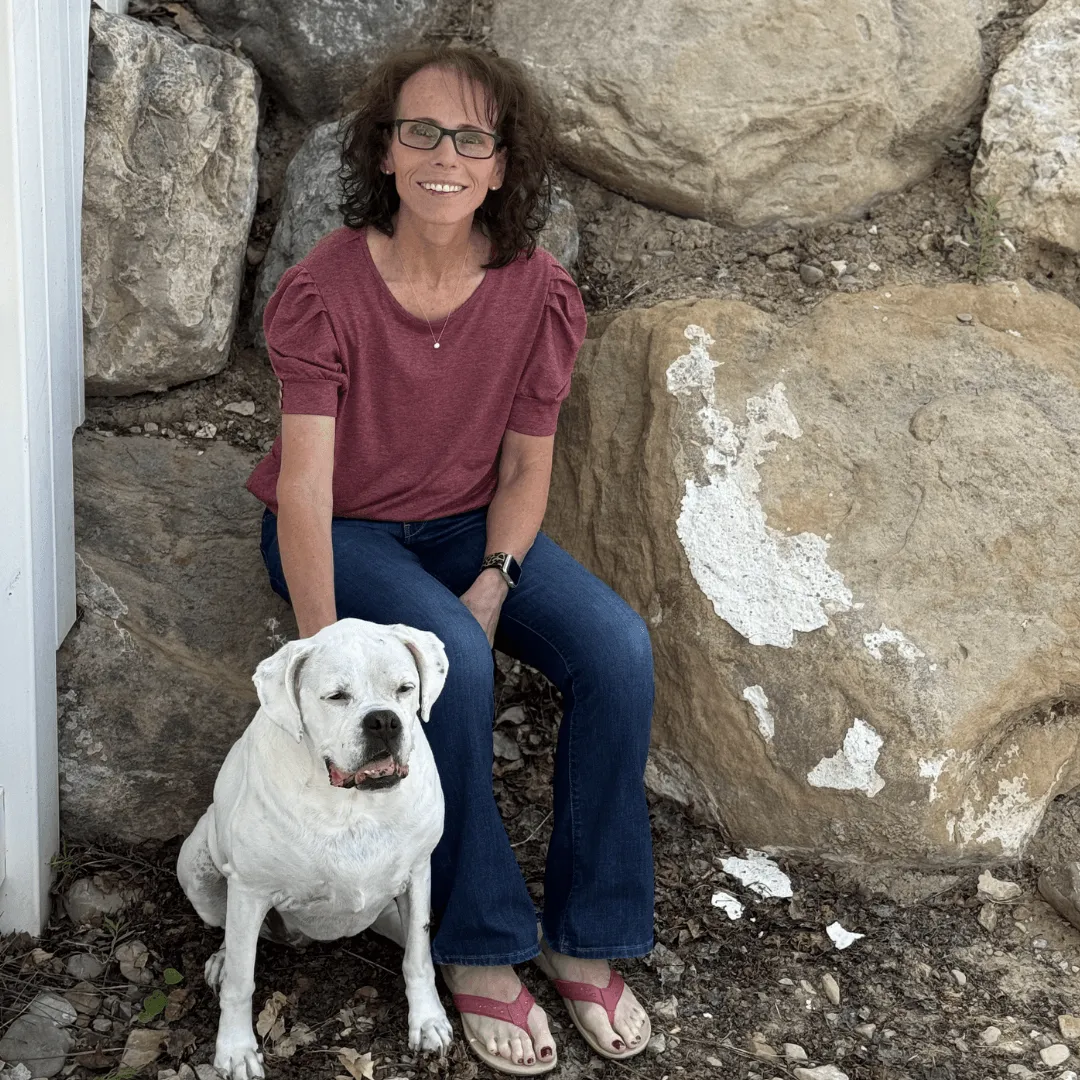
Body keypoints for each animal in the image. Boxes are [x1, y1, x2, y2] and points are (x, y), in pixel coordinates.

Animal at [176, 622, 451, 1075]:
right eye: (336, 696)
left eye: (405, 689)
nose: (383, 720)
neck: (351, 804)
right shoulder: (250, 890)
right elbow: (241, 981)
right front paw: (235, 1049)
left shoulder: (418, 873)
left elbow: (418, 956)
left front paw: (428, 1020)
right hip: (196, 867)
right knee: (233, 938)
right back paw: (222, 958)